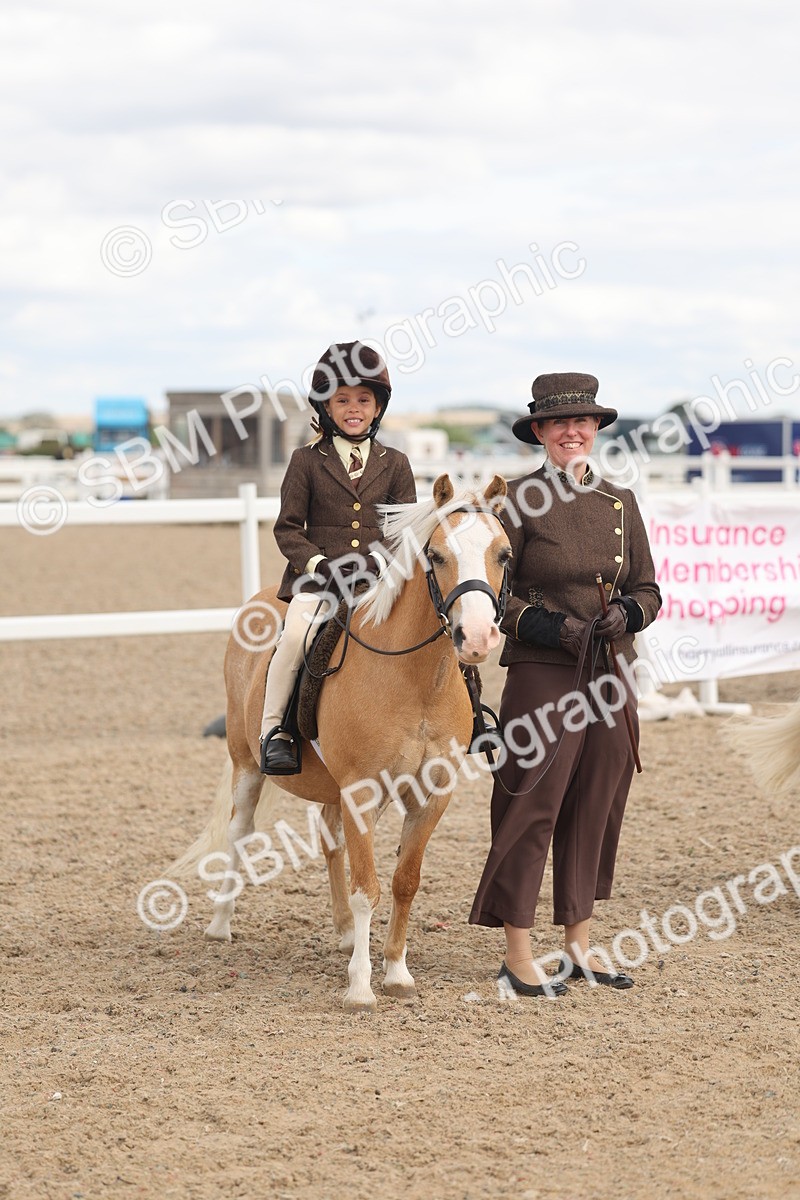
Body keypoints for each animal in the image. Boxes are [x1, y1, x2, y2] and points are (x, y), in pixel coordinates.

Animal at [173, 473, 511, 1011]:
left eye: (503, 553)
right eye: (437, 556)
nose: (476, 638)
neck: (417, 678)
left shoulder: (431, 796)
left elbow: (404, 881)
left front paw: (396, 971)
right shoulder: (361, 790)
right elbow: (366, 888)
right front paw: (360, 986)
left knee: (331, 840)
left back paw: (346, 934)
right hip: (247, 764)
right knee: (239, 833)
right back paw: (221, 924)